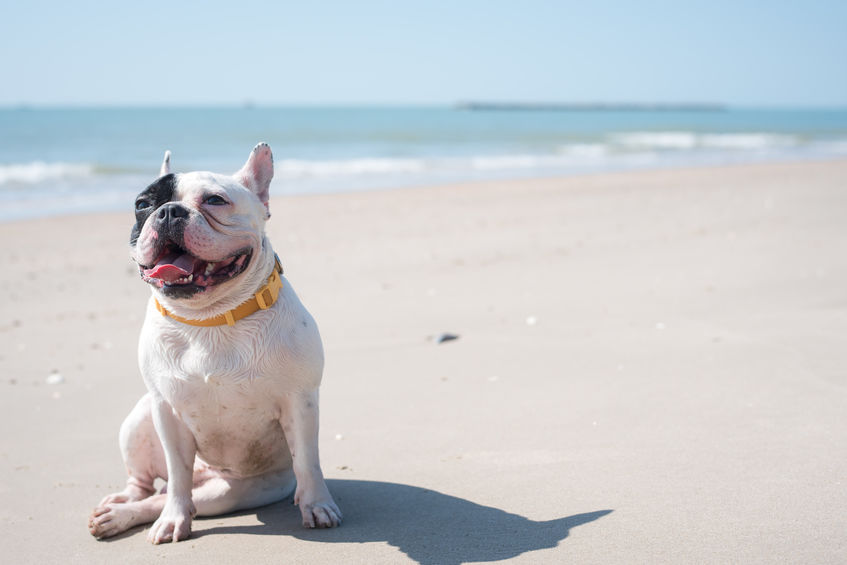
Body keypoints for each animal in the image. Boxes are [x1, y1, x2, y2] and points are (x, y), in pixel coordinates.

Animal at [88, 142, 342, 540]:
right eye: (143, 204)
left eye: (214, 200)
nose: (169, 211)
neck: (209, 319)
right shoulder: (166, 411)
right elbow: (177, 475)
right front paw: (174, 518)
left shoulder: (300, 404)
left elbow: (307, 461)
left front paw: (317, 504)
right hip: (141, 416)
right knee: (151, 487)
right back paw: (121, 509)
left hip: (230, 492)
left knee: (169, 497)